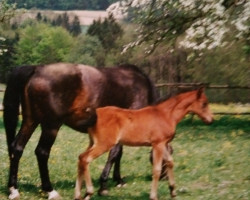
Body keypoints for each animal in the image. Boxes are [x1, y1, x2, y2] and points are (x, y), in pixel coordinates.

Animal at [3, 62, 157, 198]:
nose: (160, 177)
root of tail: (37, 69)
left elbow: (118, 154)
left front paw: (118, 180)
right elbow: (114, 154)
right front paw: (104, 186)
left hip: (30, 121)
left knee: (17, 148)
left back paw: (13, 189)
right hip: (51, 126)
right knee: (42, 152)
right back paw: (50, 191)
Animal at [74, 88, 213, 200]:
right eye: (204, 103)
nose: (210, 120)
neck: (165, 114)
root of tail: (94, 114)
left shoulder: (163, 144)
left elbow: (170, 162)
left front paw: (173, 191)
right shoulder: (158, 144)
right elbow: (157, 169)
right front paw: (154, 196)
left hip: (92, 142)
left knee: (81, 158)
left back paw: (78, 194)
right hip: (104, 144)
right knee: (86, 159)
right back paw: (89, 192)